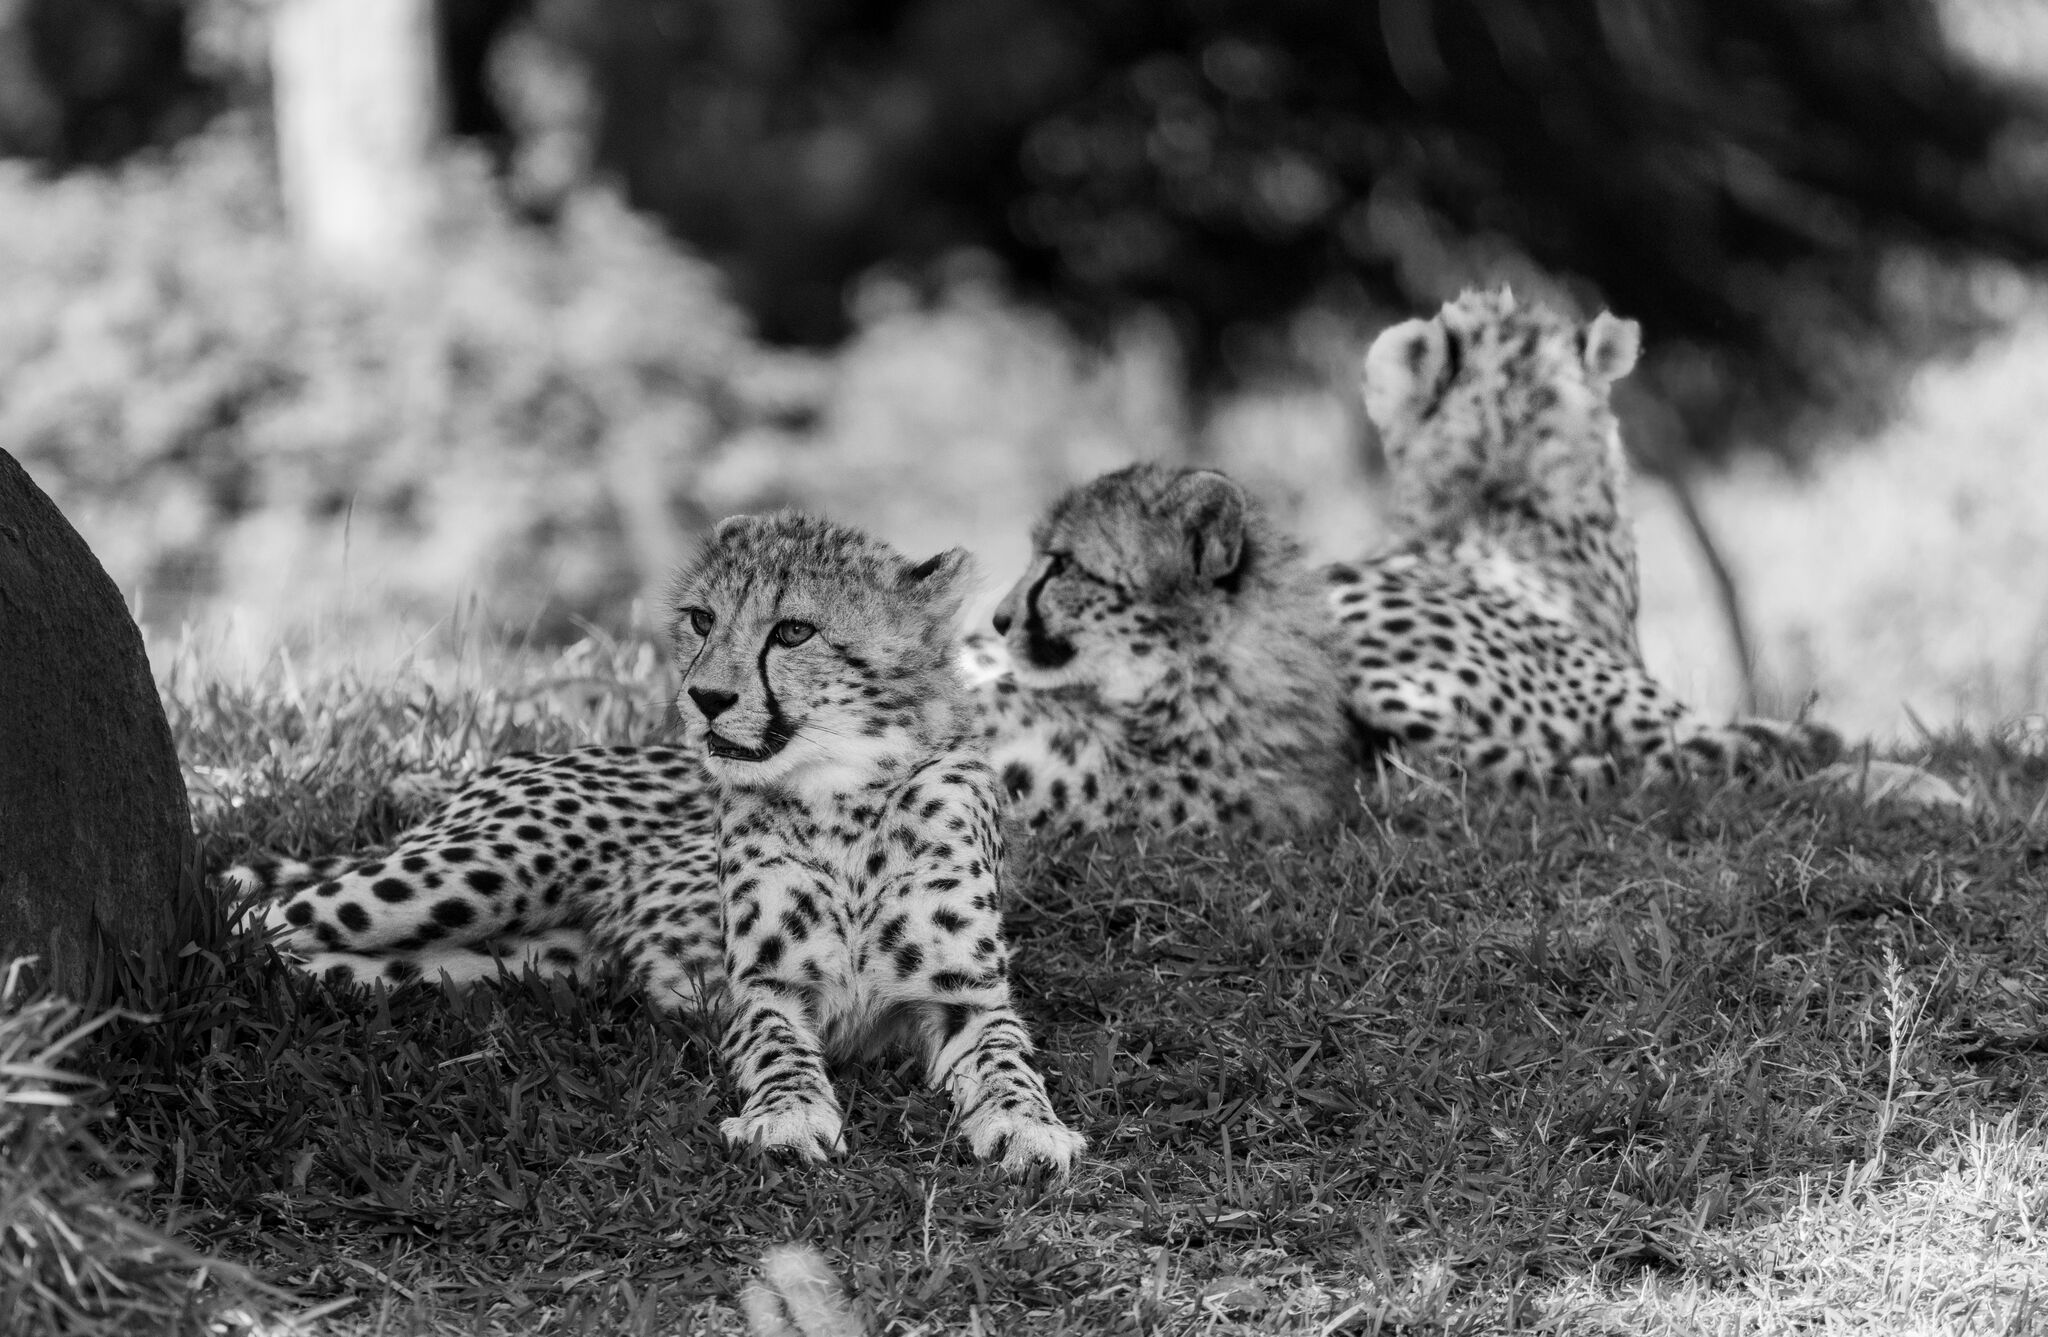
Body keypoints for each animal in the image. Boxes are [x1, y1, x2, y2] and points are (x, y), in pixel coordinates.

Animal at [223, 511, 1085, 1173]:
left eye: (794, 631)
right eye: (702, 620)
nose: (704, 698)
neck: (843, 790)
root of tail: (520, 756)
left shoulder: (967, 994)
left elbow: (1010, 1057)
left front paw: (1028, 1125)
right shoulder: (763, 988)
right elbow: (780, 1049)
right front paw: (789, 1116)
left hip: (496, 960)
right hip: (473, 871)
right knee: (262, 915)